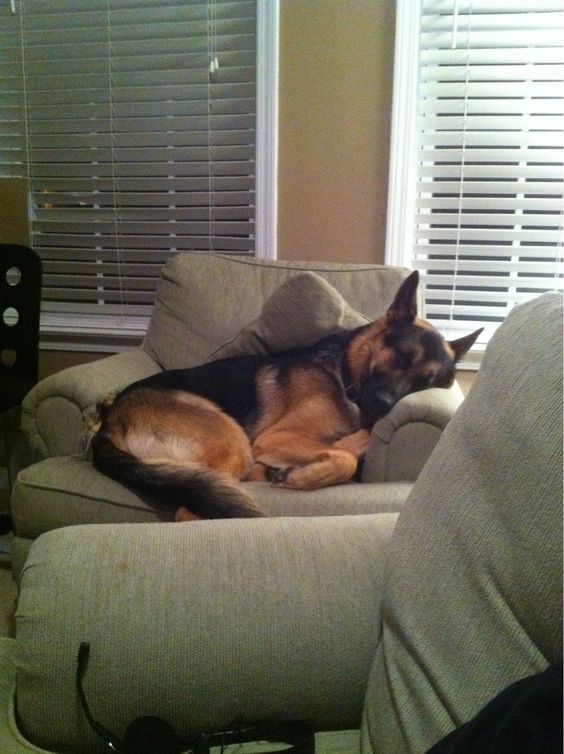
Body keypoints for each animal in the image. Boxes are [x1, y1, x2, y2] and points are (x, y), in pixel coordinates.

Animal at [91, 274, 480, 520]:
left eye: (424, 383)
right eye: (400, 357)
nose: (384, 407)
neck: (342, 375)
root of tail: (109, 420)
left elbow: (351, 445)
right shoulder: (276, 437)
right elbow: (343, 457)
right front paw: (308, 474)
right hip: (232, 442)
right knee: (193, 510)